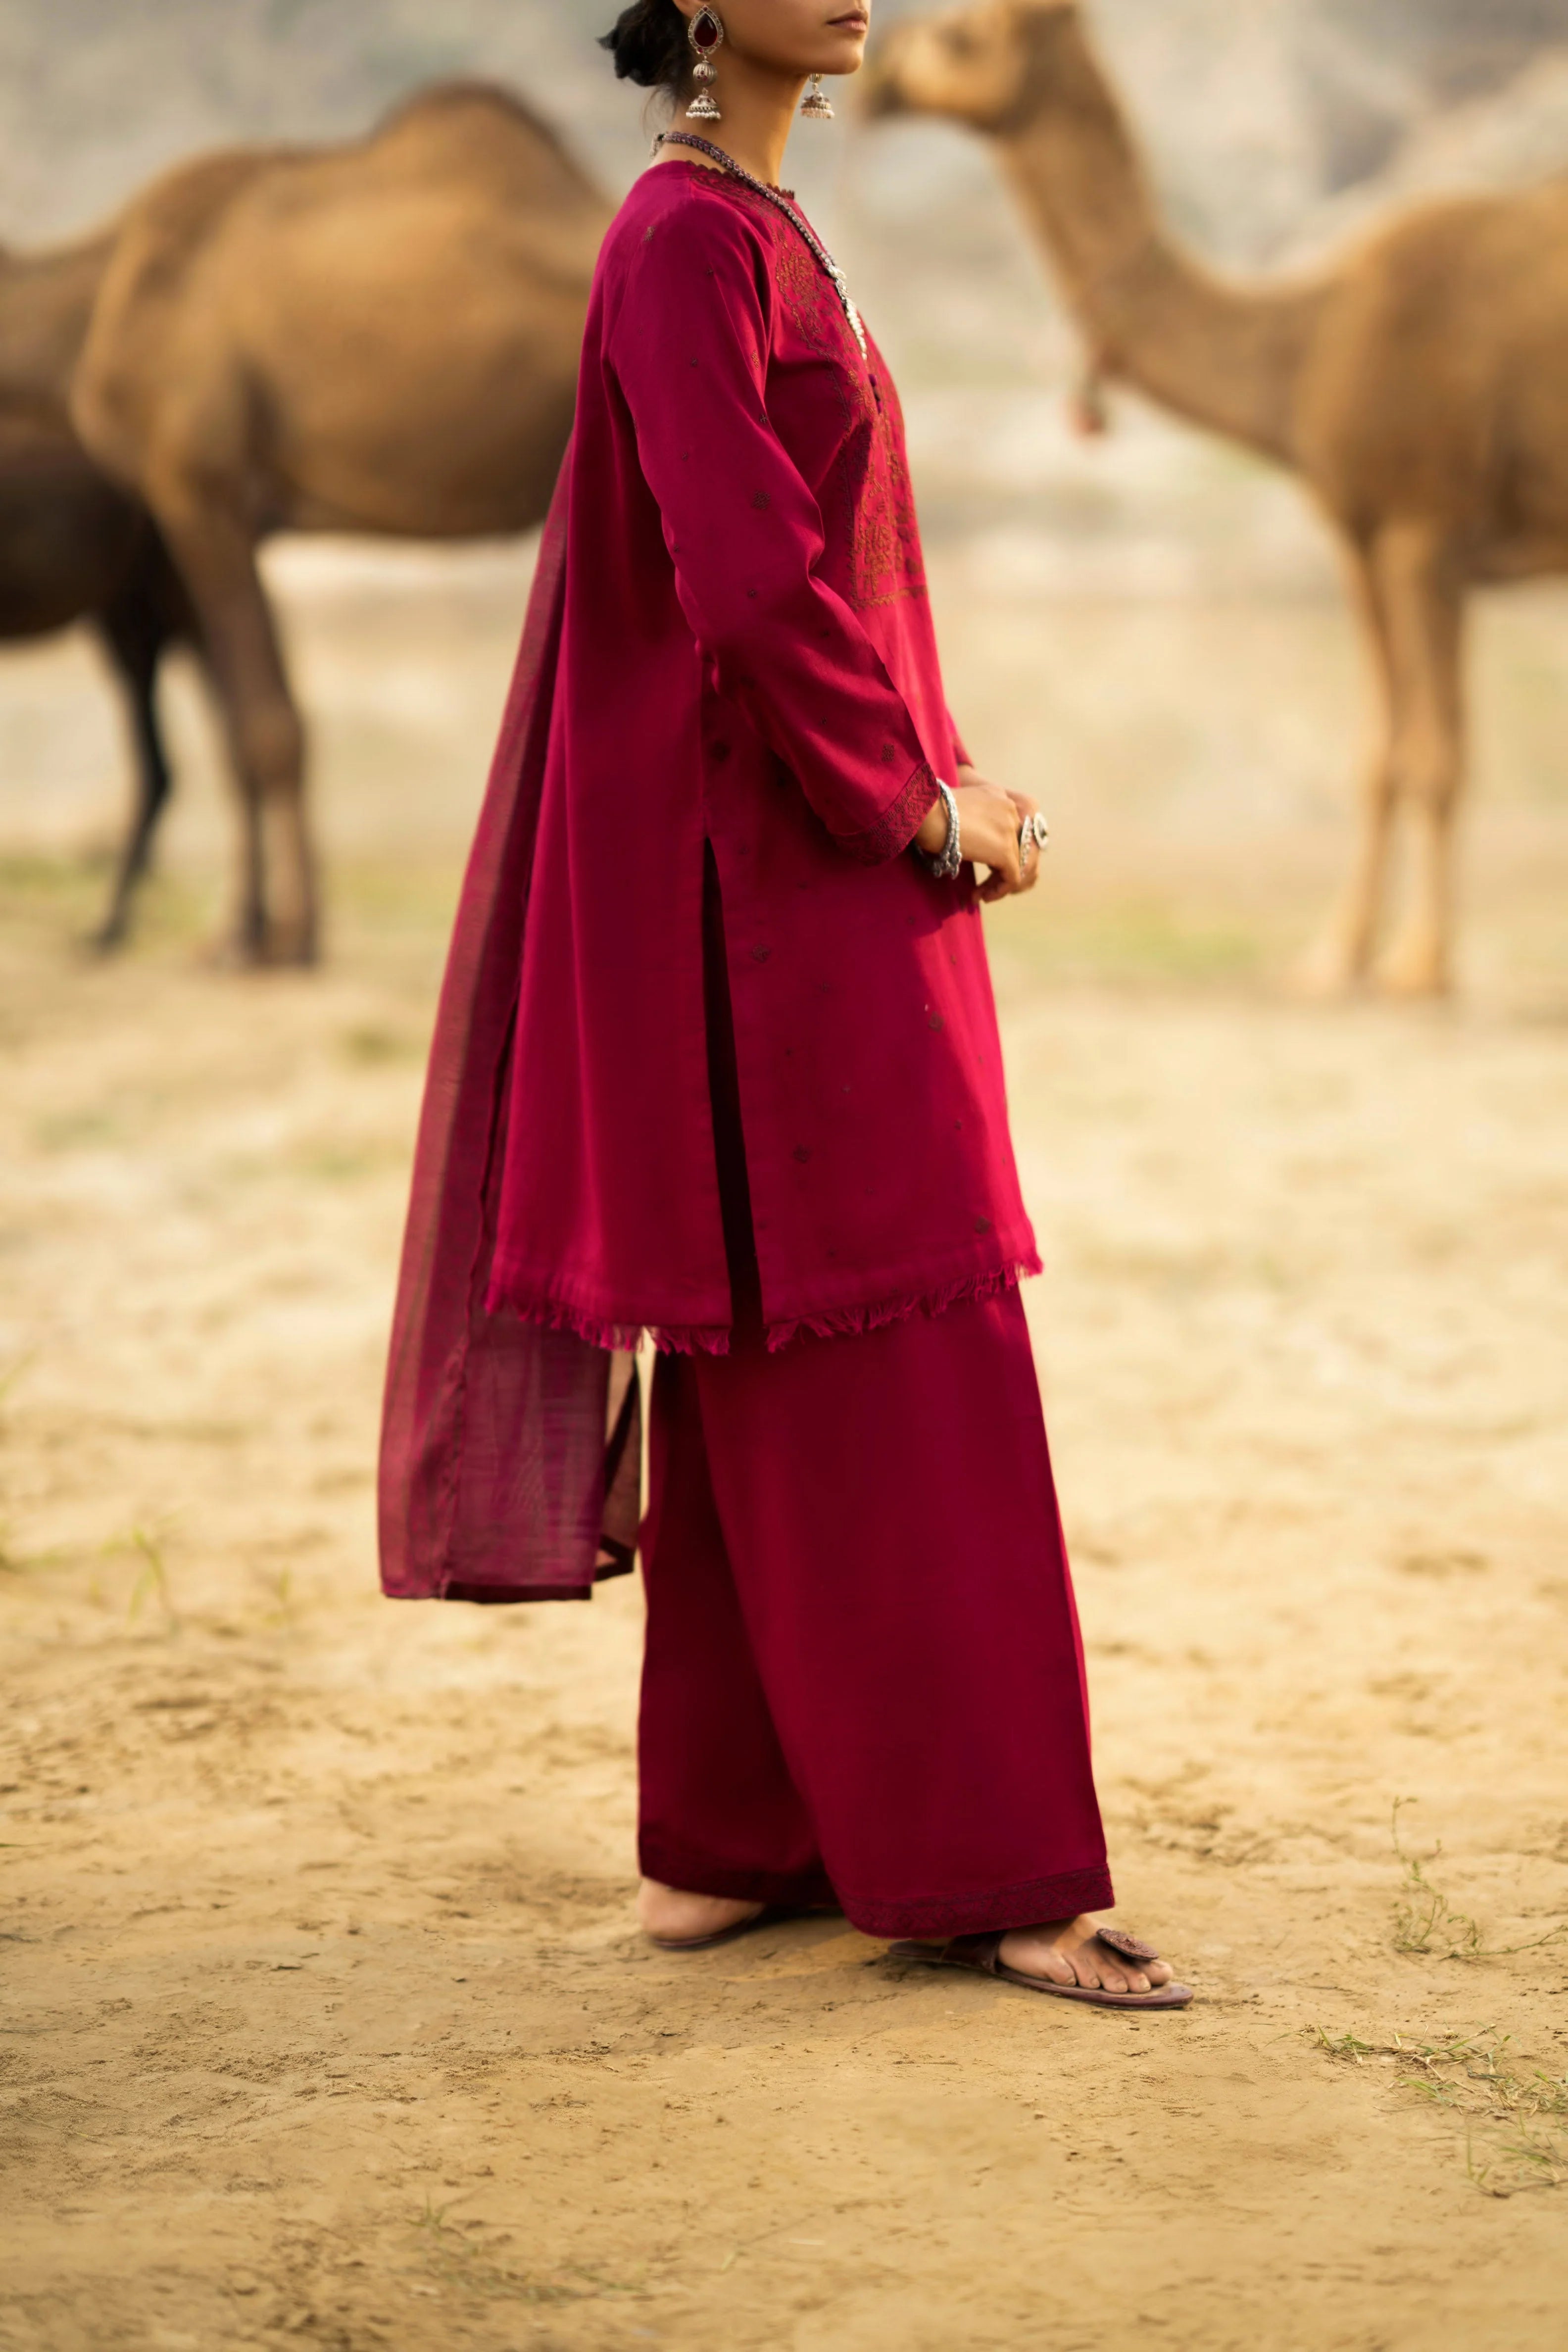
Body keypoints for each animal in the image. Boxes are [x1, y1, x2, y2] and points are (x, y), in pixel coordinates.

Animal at [43, 83, 606, 964]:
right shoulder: (238, 517)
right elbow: (253, 717)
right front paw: (257, 929)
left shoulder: (193, 483)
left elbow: (261, 725)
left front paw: (276, 942)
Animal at [860, 0, 1568, 992]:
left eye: (959, 35)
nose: (875, 79)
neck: (1306, 344)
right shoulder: (1359, 536)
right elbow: (1379, 755)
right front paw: (1334, 956)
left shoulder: (1424, 526)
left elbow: (1437, 756)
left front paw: (1420, 967)